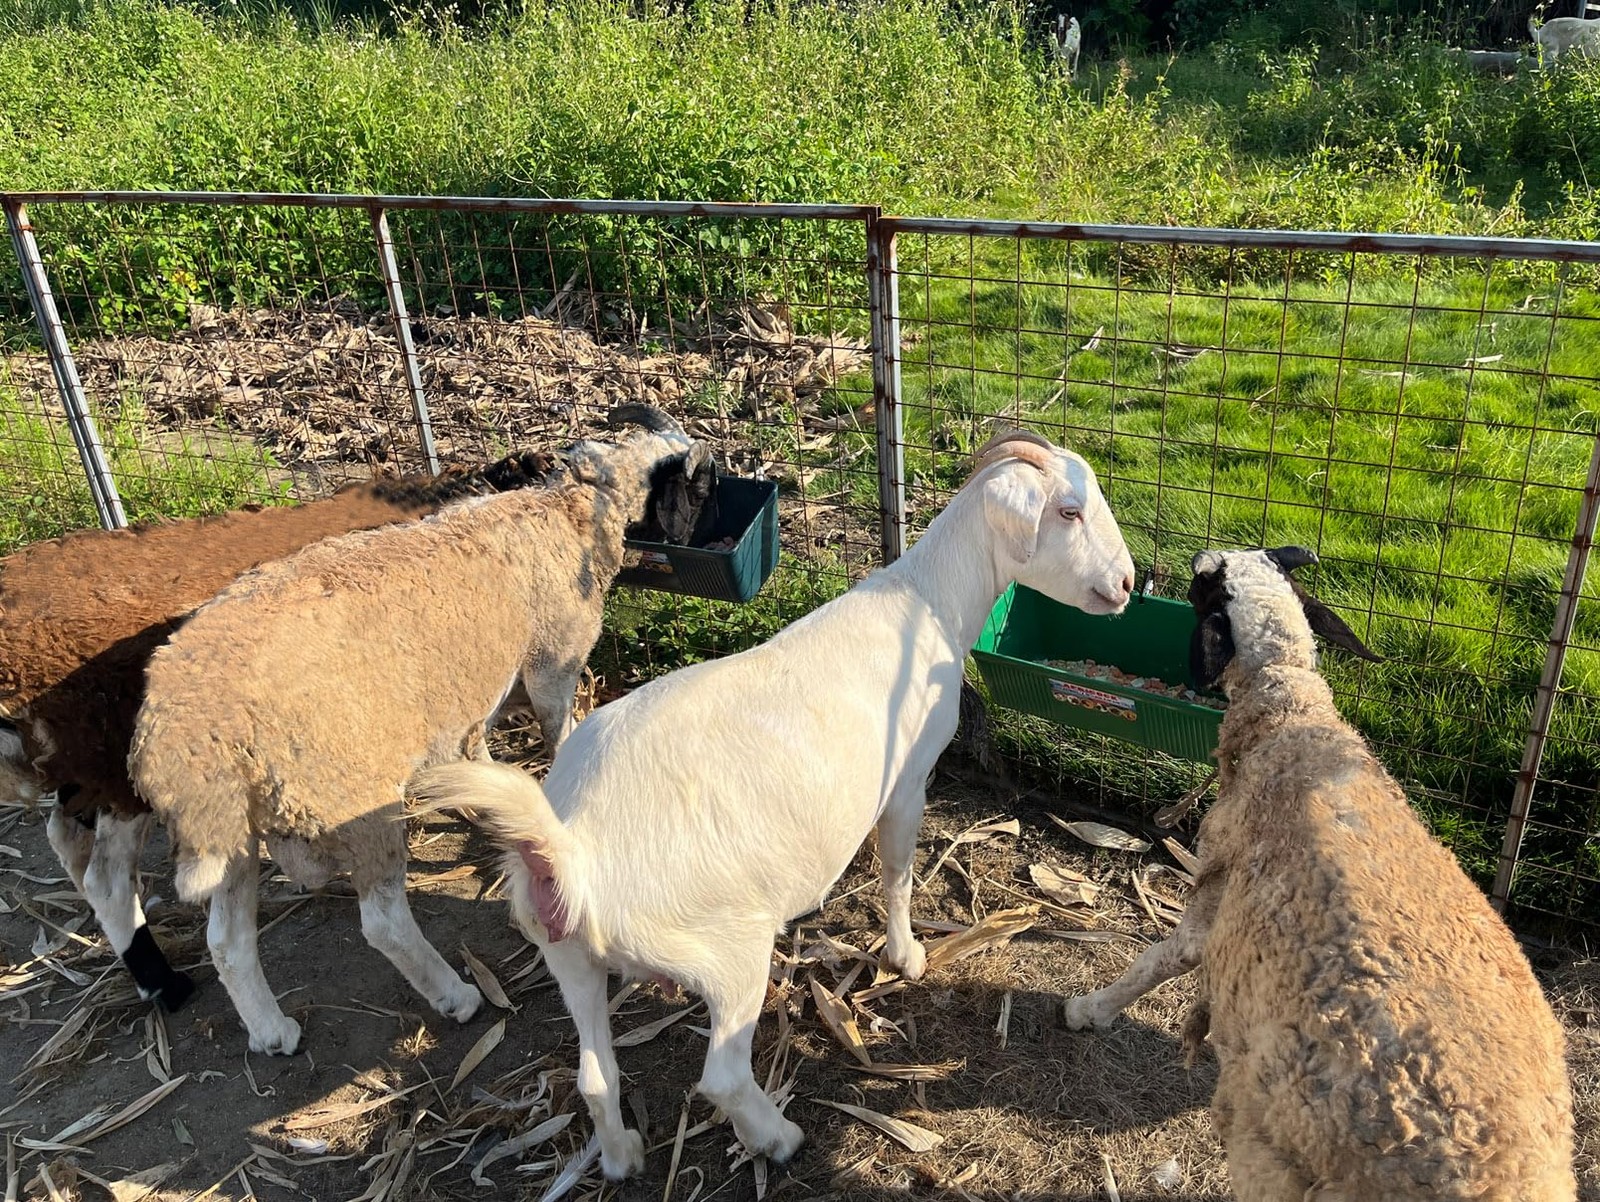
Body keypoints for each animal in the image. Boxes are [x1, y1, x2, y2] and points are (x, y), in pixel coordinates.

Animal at [128, 407, 715, 1056]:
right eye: (702, 486)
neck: (571, 511)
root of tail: (183, 732)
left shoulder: (467, 700)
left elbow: (473, 747)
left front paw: (481, 796)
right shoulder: (551, 664)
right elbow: (559, 733)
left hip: (234, 828)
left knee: (227, 942)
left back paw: (272, 1030)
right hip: (348, 796)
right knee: (382, 922)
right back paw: (456, 996)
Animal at [409, 428, 1135, 1179]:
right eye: (1070, 511)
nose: (1126, 584)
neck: (928, 602)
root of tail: (570, 850)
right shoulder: (907, 781)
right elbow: (898, 874)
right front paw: (906, 957)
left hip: (569, 958)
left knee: (594, 1077)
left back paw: (622, 1156)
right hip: (724, 952)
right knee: (722, 1076)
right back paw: (778, 1137)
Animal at [1062, 546, 1577, 1201]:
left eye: (1204, 586)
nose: (1195, 557)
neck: (1291, 714)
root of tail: (1498, 1176)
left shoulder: (1216, 900)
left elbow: (1159, 960)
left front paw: (1089, 1010)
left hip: (1276, 1160)